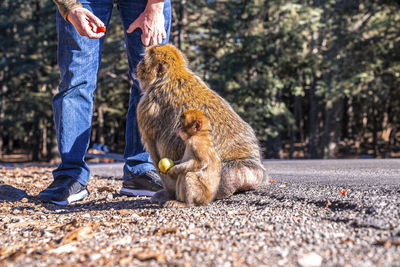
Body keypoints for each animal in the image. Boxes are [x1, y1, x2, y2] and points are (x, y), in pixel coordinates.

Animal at [136, 44, 268, 205]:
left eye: (143, 60)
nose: (137, 65)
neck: (173, 76)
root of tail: (246, 173)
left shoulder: (147, 106)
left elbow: (154, 152)